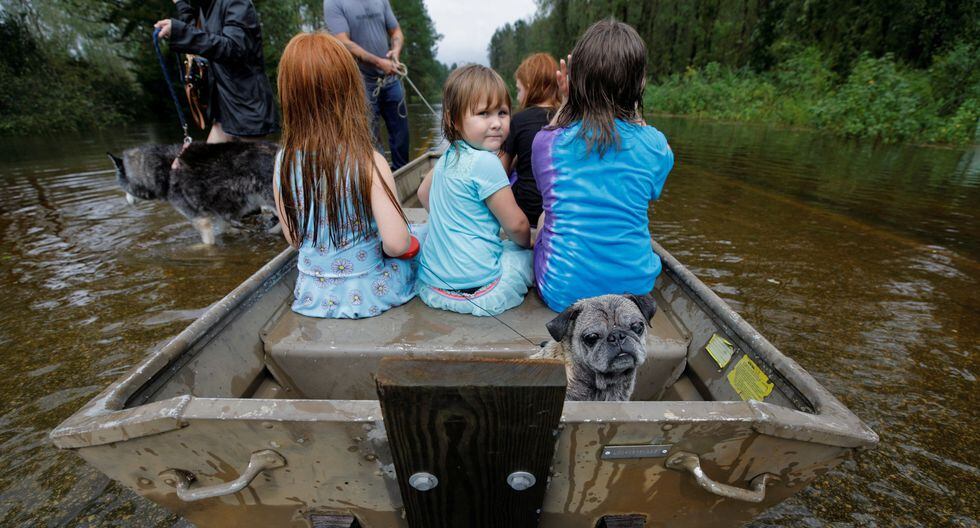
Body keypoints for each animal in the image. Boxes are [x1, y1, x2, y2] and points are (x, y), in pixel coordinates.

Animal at [110, 141, 280, 246]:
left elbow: (207, 243)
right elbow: (226, 228)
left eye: (123, 188)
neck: (165, 170)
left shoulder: (199, 218)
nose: (127, 202)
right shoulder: (221, 214)